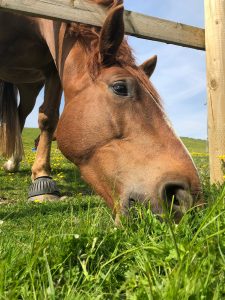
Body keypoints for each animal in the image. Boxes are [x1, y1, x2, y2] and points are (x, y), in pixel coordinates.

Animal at [0, 0, 201, 223]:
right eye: (120, 87)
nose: (186, 196)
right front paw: (41, 181)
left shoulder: (53, 67)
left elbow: (49, 117)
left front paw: (41, 177)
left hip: (30, 85)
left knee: (20, 115)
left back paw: (13, 161)